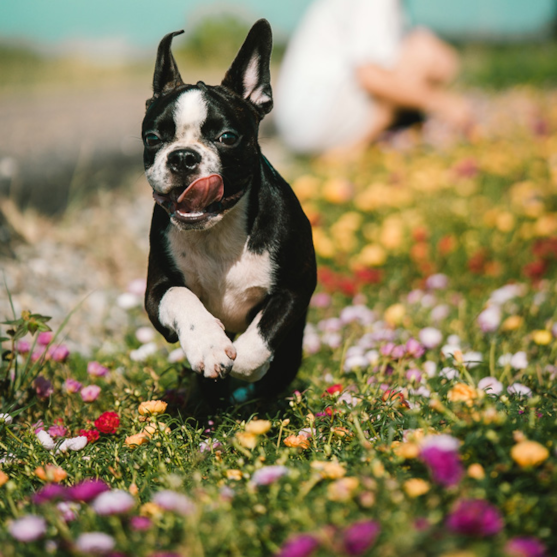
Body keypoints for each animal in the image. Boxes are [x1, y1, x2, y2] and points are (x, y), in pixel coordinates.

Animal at [141, 19, 318, 402]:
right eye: (152, 139)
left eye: (227, 137)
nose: (183, 156)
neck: (218, 232)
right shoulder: (155, 292)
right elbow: (181, 297)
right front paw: (208, 345)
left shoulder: (296, 288)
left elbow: (264, 332)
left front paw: (250, 362)